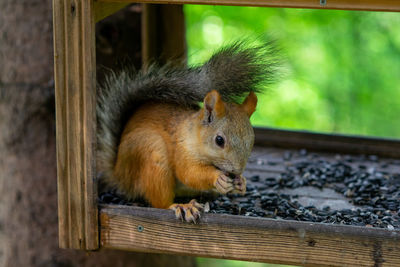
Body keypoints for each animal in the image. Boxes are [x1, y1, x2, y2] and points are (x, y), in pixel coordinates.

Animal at [98, 40, 276, 223]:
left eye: (251, 140)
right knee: (160, 201)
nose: (237, 171)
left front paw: (241, 182)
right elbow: (189, 173)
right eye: (219, 140)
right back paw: (181, 206)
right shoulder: (182, 150)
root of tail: (119, 174)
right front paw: (217, 178)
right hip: (151, 151)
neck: (195, 137)